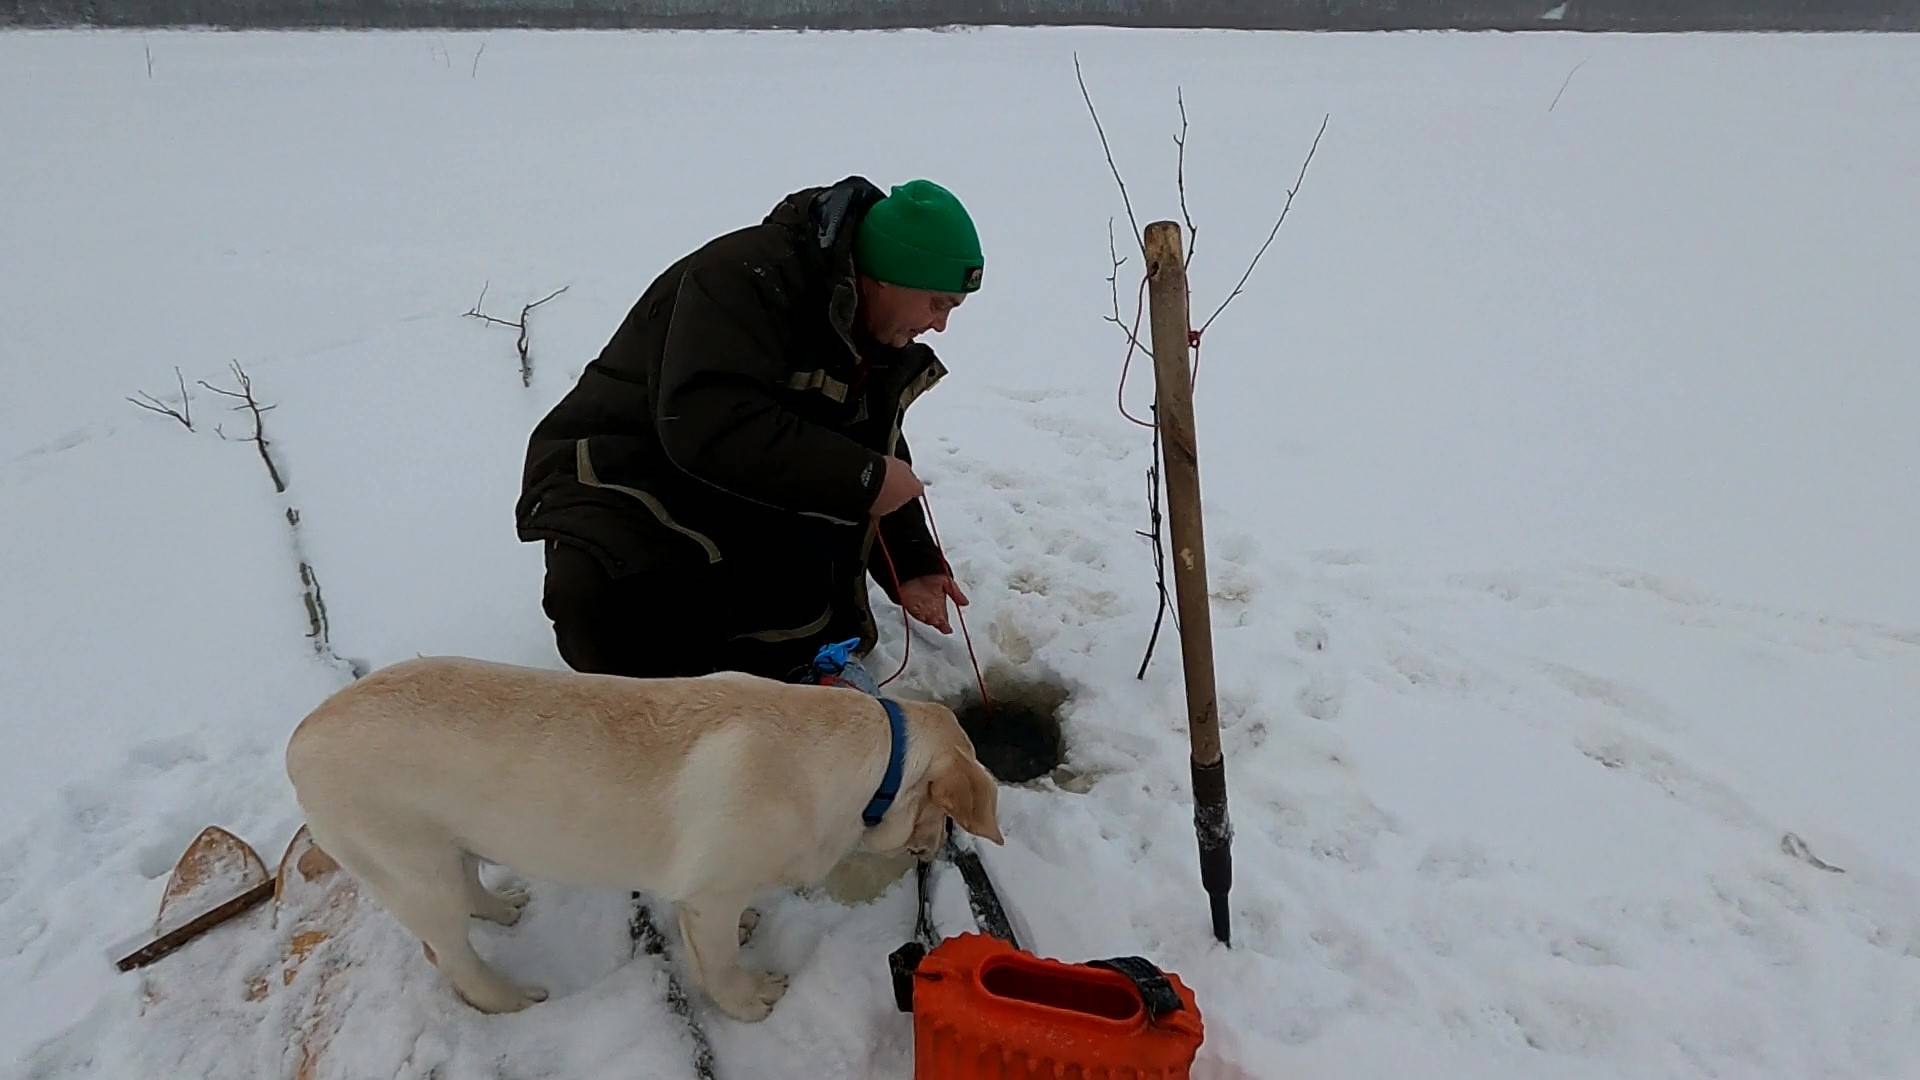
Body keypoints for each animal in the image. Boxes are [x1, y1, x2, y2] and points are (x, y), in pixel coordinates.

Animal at [288, 657, 1006, 1014]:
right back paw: (514, 999)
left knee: (470, 890)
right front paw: (751, 1001)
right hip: (411, 867)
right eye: (942, 817)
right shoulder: (712, 893)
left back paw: (504, 906)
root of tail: (297, 741)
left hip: (450, 843)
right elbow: (720, 961)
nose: (937, 848)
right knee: (451, 956)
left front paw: (751, 925)